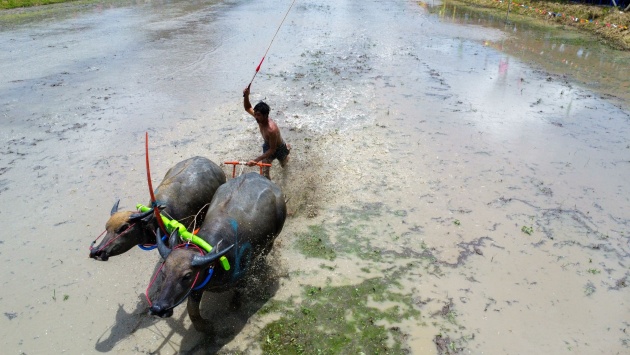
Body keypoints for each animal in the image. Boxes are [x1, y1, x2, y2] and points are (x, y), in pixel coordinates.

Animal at [148, 172, 286, 334]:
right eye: (163, 272)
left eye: (187, 276)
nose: (158, 308)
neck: (215, 263)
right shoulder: (197, 287)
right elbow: (191, 310)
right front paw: (206, 327)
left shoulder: (242, 276)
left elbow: (238, 295)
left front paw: (233, 307)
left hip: (272, 240)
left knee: (265, 254)